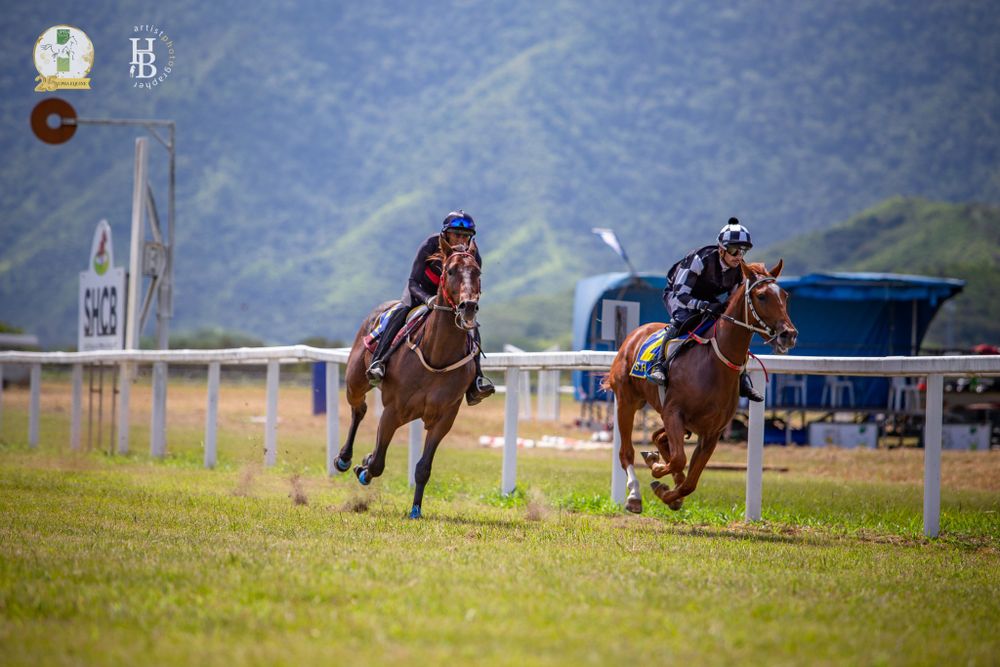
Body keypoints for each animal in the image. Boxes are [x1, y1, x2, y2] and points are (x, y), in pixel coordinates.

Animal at [333, 235, 482, 519]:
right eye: (450, 271)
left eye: (477, 271)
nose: (468, 307)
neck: (437, 355)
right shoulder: (393, 410)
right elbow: (378, 463)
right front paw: (364, 468)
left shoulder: (444, 418)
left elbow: (423, 467)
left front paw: (415, 509)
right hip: (355, 382)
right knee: (359, 409)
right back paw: (344, 458)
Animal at [603, 260, 798, 514]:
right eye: (762, 296)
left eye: (784, 295)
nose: (788, 335)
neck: (714, 365)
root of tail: (635, 334)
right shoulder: (673, 412)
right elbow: (678, 460)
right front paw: (658, 471)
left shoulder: (711, 433)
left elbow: (690, 482)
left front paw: (668, 492)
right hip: (627, 402)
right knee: (627, 452)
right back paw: (635, 495)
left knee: (659, 438)